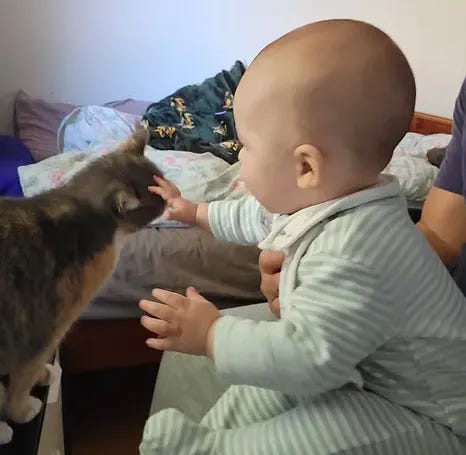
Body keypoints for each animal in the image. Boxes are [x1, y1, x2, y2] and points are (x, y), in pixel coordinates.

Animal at [0, 129, 166, 446]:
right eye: (159, 199)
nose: (176, 198)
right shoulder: (44, 330)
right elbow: (24, 378)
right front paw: (21, 410)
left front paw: (44, 375)